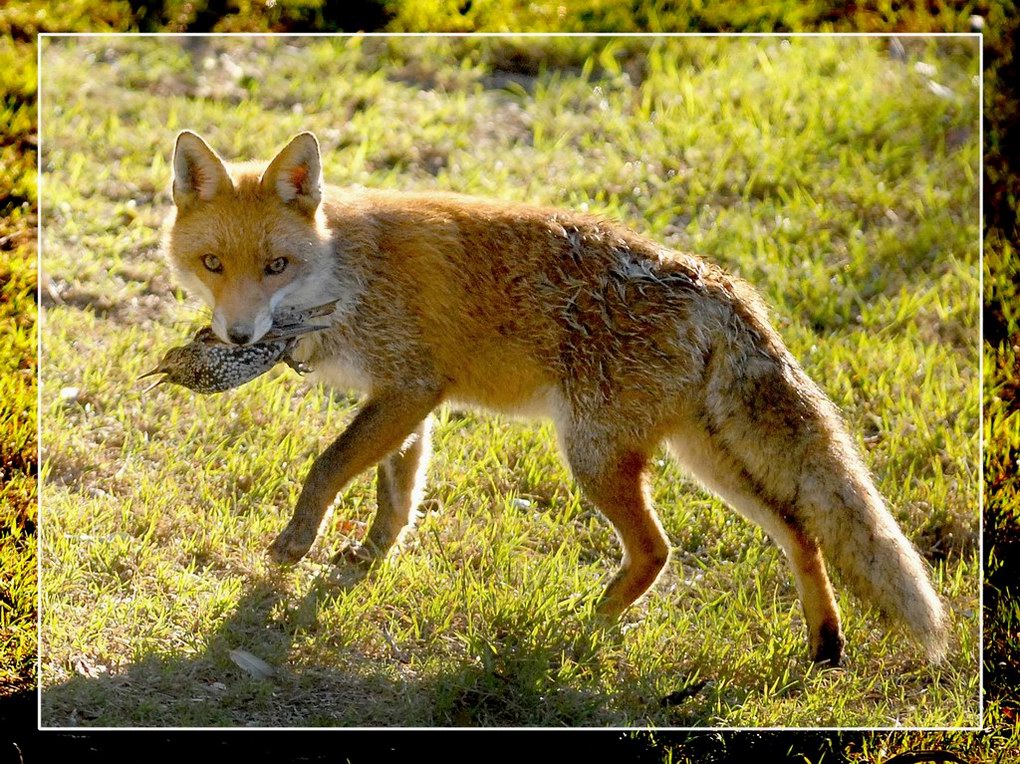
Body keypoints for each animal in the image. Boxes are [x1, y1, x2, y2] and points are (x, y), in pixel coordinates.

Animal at [163, 128, 950, 665]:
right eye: (212, 263)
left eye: (275, 266)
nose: (237, 336)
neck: (345, 274)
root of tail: (718, 286)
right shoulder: (406, 399)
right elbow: (398, 494)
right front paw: (367, 560)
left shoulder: (409, 388)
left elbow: (327, 467)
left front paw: (296, 545)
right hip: (703, 460)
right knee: (799, 529)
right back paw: (823, 644)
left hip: (594, 458)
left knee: (659, 550)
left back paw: (587, 627)